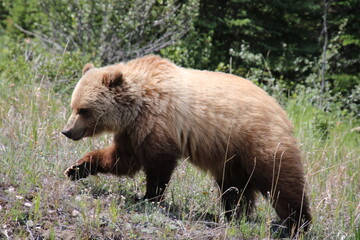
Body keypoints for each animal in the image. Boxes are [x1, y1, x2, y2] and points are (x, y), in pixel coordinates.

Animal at [63, 54, 310, 234]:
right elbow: (123, 160)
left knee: (281, 183)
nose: (67, 131)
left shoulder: (159, 122)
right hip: (232, 157)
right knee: (235, 188)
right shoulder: (133, 130)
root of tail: (282, 111)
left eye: (84, 110)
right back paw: (234, 217)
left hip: (258, 140)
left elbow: (158, 164)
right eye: (73, 106)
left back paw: (297, 224)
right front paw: (76, 168)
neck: (137, 105)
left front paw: (148, 197)